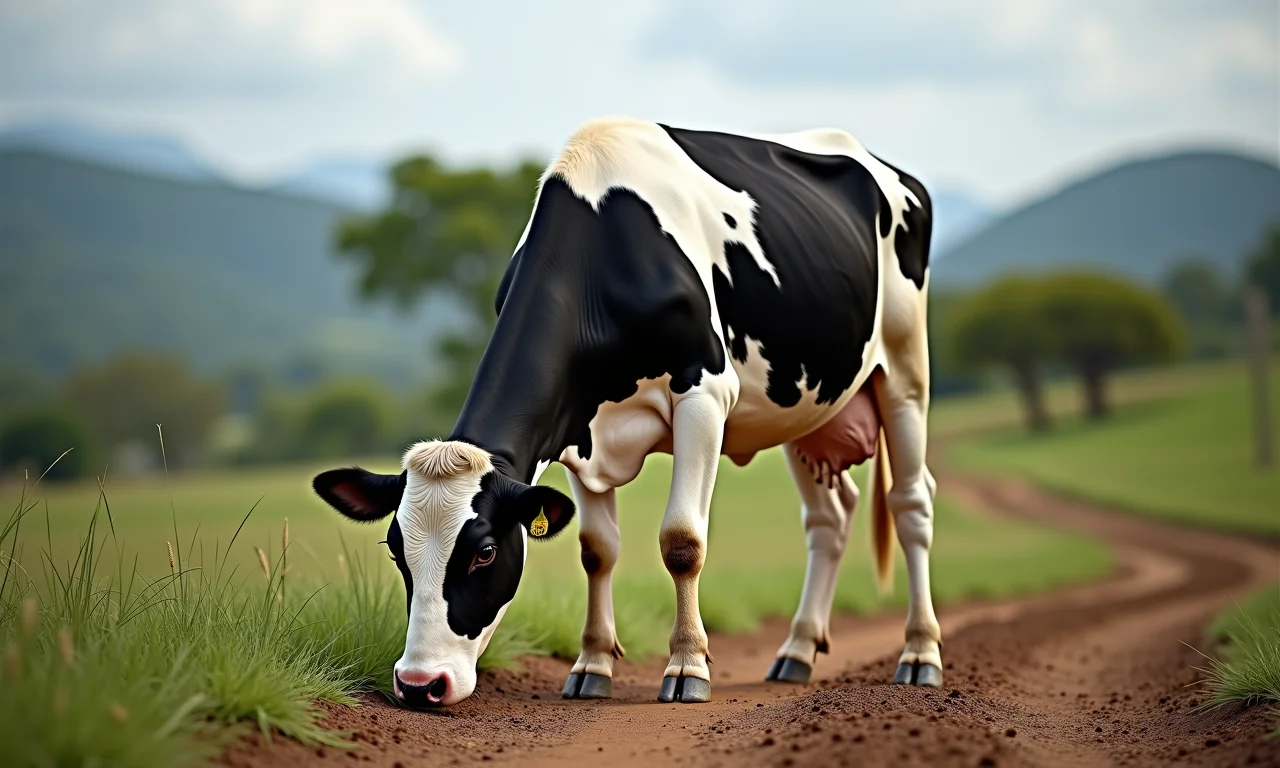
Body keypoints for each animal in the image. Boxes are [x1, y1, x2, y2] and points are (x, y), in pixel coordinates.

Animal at [312, 117, 942, 707]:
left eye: (485, 552)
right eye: (396, 548)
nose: (419, 684)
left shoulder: (705, 393)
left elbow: (683, 541)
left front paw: (687, 667)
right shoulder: (576, 431)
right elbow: (596, 549)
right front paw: (591, 666)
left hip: (905, 368)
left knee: (910, 504)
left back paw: (919, 654)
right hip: (802, 408)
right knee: (829, 518)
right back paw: (798, 651)